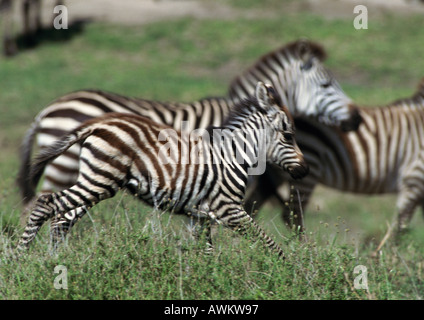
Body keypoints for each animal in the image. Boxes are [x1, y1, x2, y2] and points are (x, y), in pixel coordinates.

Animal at [17, 82, 308, 258]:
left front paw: (205, 280)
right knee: (45, 205)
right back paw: (21, 259)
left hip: (94, 181)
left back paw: (57, 260)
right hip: (97, 181)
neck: (232, 157)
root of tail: (96, 125)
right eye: (288, 136)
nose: (304, 171)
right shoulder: (229, 210)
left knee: (61, 219)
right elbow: (268, 243)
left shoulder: (200, 217)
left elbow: (207, 255)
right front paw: (287, 272)